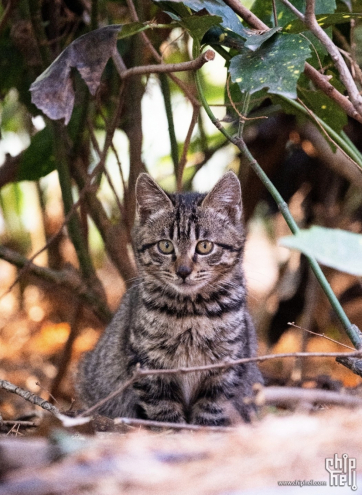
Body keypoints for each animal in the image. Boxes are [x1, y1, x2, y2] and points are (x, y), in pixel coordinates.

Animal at [78, 171, 262, 426]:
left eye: (204, 246)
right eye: (165, 246)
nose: (183, 271)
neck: (191, 312)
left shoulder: (227, 365)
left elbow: (211, 410)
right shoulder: (148, 365)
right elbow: (164, 411)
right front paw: (174, 430)